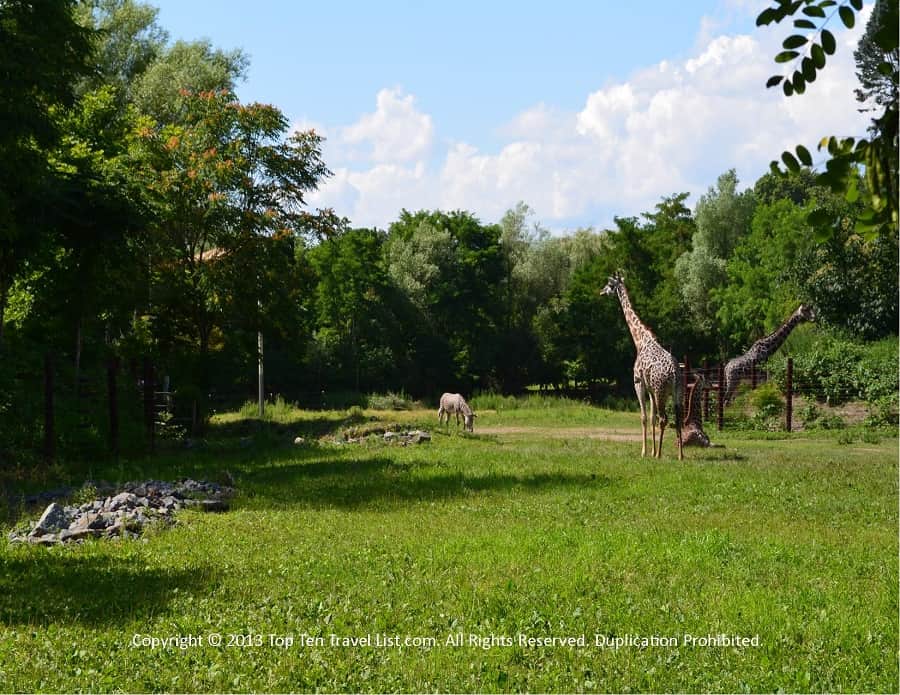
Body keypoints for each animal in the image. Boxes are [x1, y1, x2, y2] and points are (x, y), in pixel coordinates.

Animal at [601, 273, 683, 460]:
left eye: (609, 284)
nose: (601, 292)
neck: (640, 340)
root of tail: (674, 373)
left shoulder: (638, 383)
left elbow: (644, 417)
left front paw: (645, 452)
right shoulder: (650, 389)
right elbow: (651, 417)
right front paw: (651, 451)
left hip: (661, 391)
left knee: (664, 419)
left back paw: (660, 454)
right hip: (676, 392)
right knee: (677, 418)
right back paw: (680, 455)